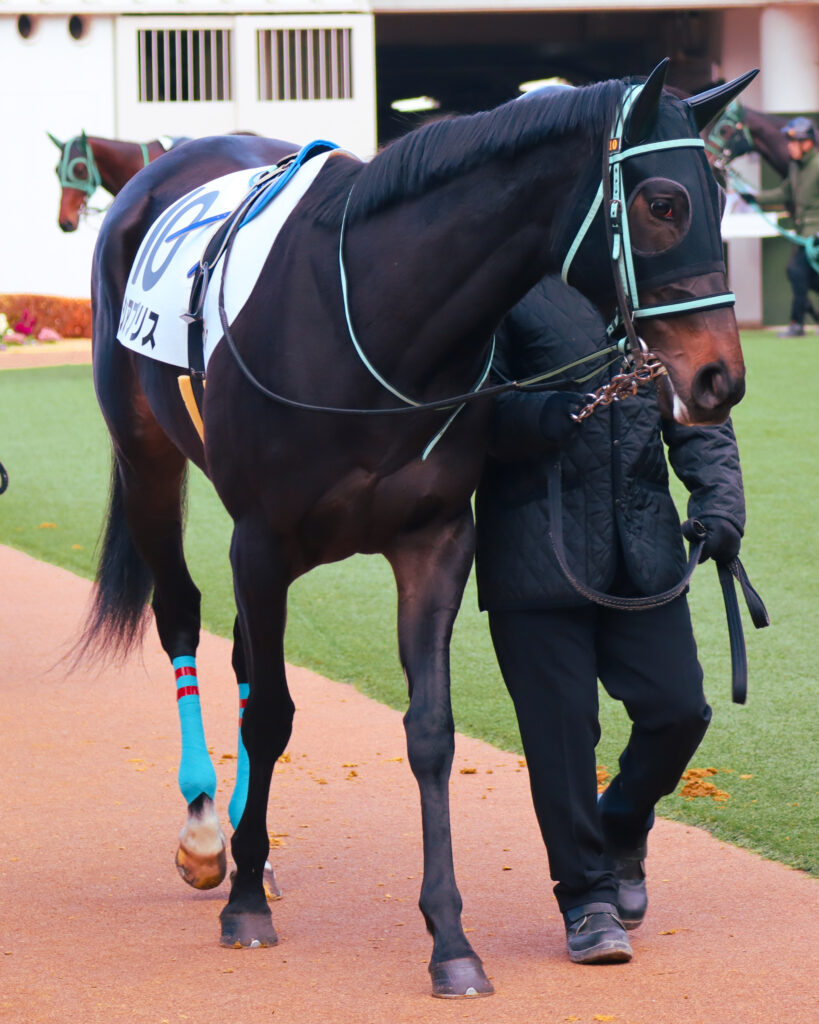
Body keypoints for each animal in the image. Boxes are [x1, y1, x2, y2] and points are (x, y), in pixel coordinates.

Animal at [82, 60, 755, 997]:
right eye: (663, 201)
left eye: (725, 195)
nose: (719, 377)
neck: (369, 319)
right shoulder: (260, 539)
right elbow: (273, 715)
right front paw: (243, 904)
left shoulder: (433, 541)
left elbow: (429, 733)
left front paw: (450, 940)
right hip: (147, 459)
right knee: (182, 618)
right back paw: (210, 835)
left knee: (245, 657)